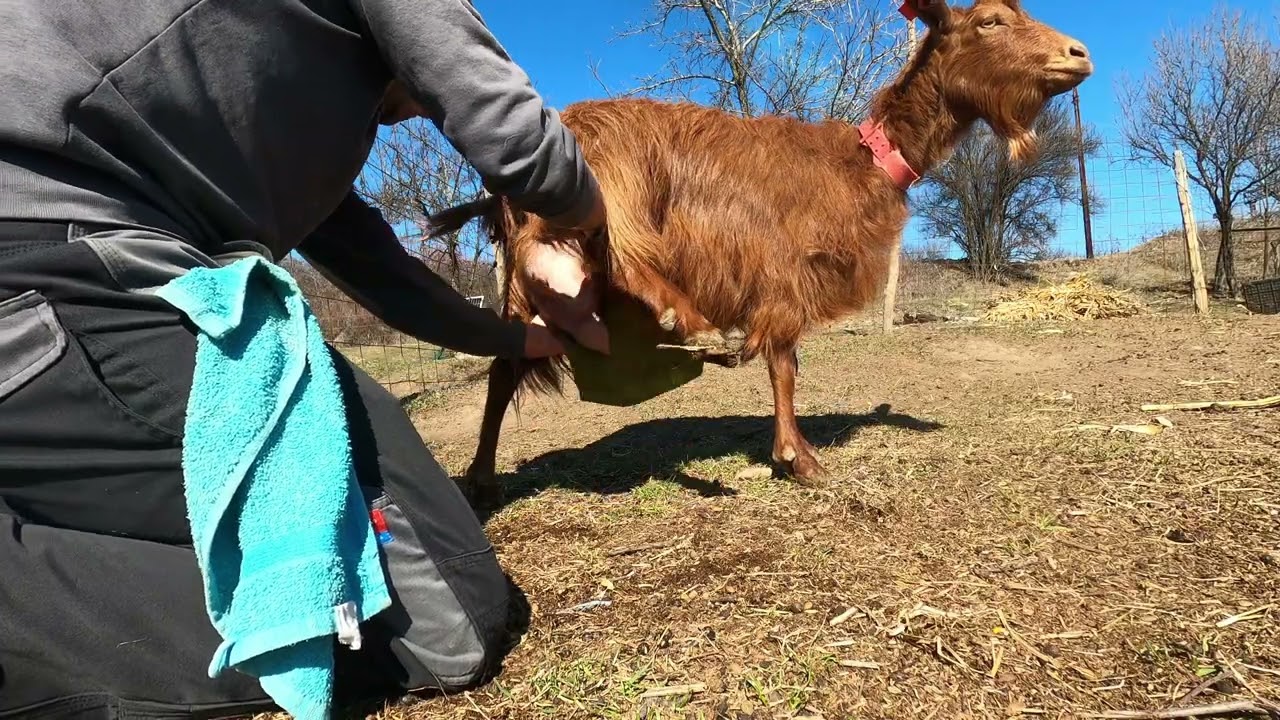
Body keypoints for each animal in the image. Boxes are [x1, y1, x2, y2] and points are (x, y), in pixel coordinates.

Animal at [428, 0, 1093, 510]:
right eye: (989, 20)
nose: (1078, 53)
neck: (861, 163)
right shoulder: (781, 271)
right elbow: (784, 365)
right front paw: (799, 458)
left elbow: (784, 362)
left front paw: (792, 451)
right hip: (612, 184)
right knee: (606, 253)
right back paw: (682, 317)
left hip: (525, 282)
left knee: (506, 362)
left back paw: (483, 479)